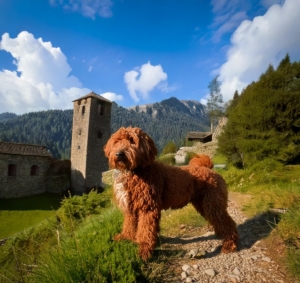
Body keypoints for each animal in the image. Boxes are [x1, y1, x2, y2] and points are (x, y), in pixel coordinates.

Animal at [104, 127, 238, 262]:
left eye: (132, 140)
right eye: (117, 141)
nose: (119, 154)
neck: (136, 170)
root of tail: (210, 169)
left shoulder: (148, 208)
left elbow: (145, 231)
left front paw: (144, 250)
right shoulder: (130, 208)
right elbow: (129, 225)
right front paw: (125, 238)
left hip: (213, 204)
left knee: (228, 223)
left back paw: (229, 245)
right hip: (203, 204)